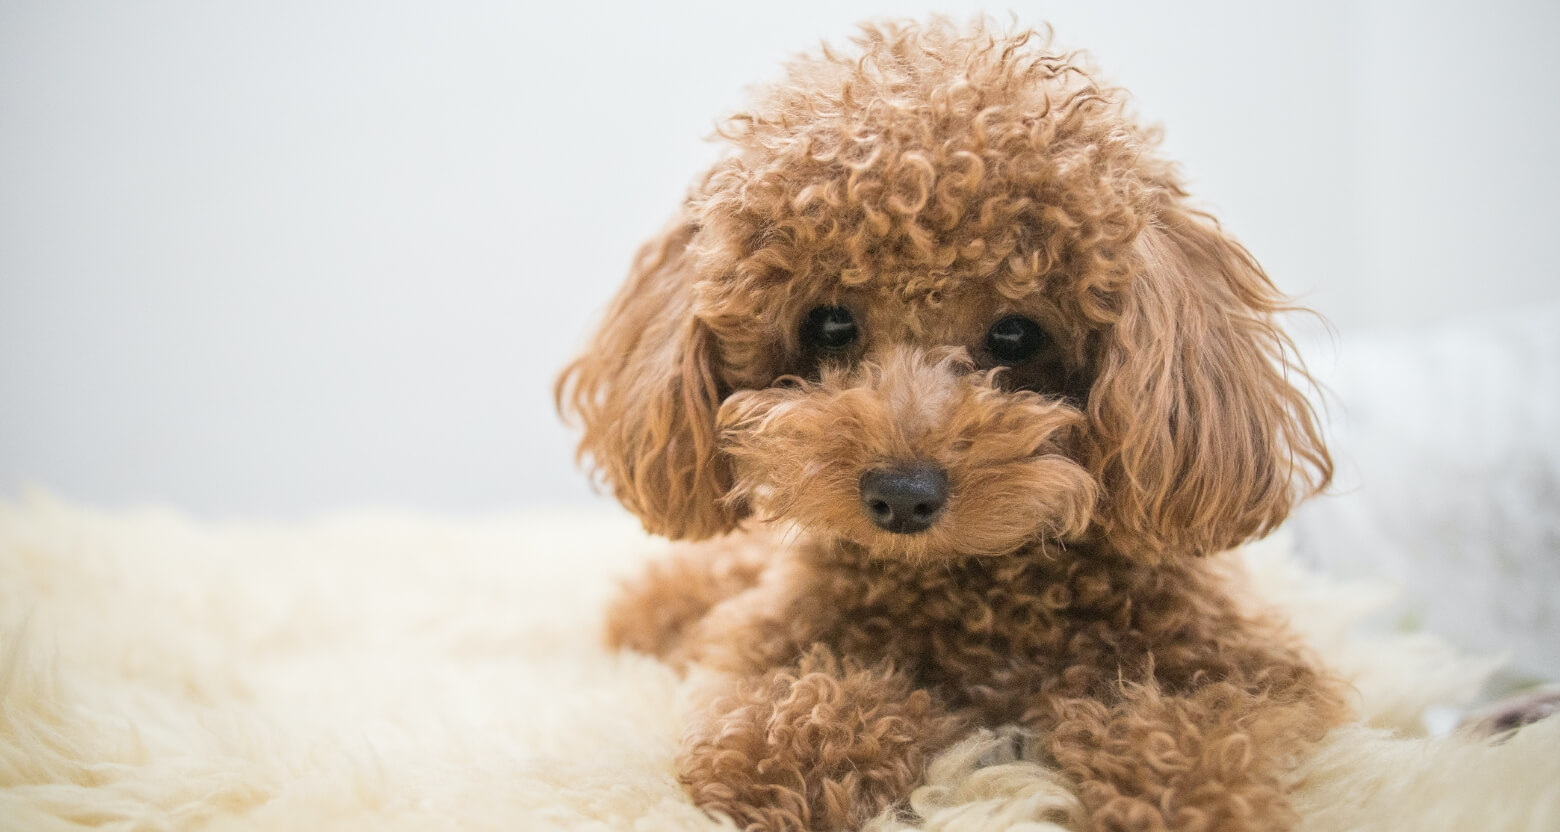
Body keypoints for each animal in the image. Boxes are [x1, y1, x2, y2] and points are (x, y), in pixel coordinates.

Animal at [561, 21, 1354, 830]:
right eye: (830, 323)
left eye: (1016, 333)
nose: (902, 495)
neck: (976, 589)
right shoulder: (766, 642)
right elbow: (797, 702)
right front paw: (777, 753)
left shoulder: (1254, 667)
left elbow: (1192, 723)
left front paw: (1185, 790)